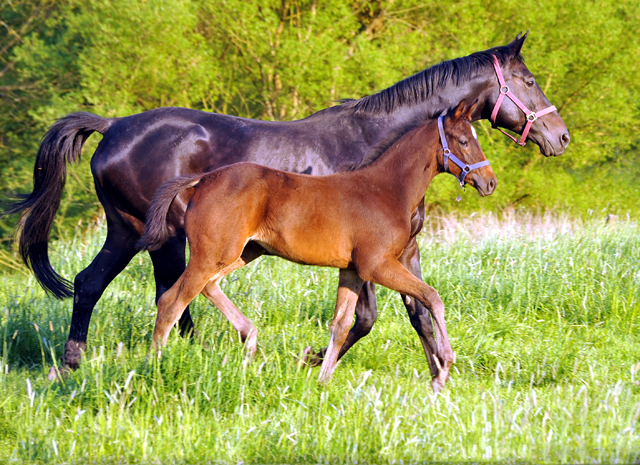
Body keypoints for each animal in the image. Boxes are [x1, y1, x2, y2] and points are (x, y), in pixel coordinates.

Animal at [140, 99, 498, 390]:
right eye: (464, 141)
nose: (490, 182)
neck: (386, 189)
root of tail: (202, 180)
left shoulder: (352, 270)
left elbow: (341, 324)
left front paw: (323, 379)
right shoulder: (377, 265)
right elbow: (432, 297)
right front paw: (444, 367)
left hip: (241, 251)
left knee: (207, 287)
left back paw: (250, 340)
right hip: (212, 254)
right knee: (172, 301)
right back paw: (153, 367)